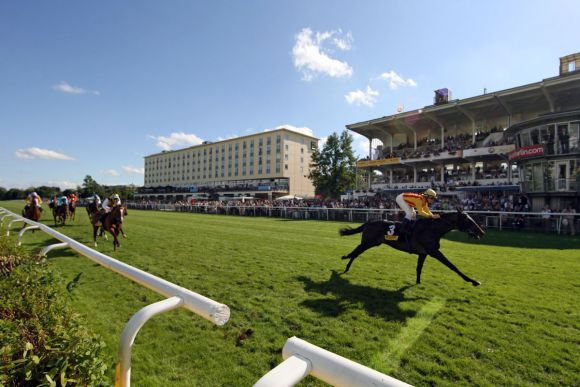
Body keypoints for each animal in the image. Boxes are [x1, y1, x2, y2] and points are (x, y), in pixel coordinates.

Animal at [340, 211, 484, 286]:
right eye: (469, 221)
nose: (481, 232)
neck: (432, 229)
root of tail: (369, 222)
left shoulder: (423, 253)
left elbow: (419, 268)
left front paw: (418, 282)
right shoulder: (434, 252)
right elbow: (452, 266)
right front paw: (473, 281)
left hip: (370, 243)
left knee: (357, 252)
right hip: (368, 242)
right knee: (356, 251)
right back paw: (345, 260)